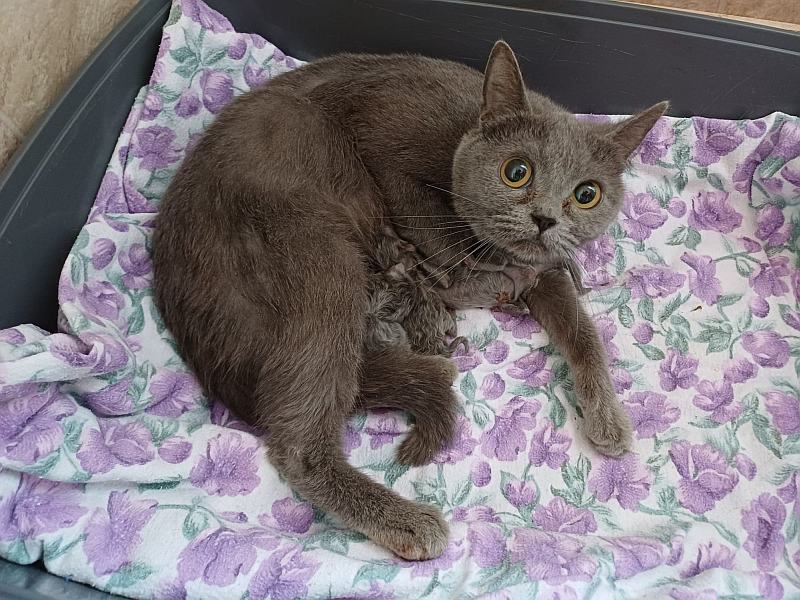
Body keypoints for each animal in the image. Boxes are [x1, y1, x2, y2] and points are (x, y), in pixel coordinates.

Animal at [153, 40, 667, 560]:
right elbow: (443, 238)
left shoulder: (546, 268)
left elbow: (582, 331)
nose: (544, 219)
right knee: (297, 443)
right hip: (314, 247)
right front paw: (490, 278)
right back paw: (408, 522)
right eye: (516, 172)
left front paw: (609, 418)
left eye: (587, 194)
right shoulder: (394, 166)